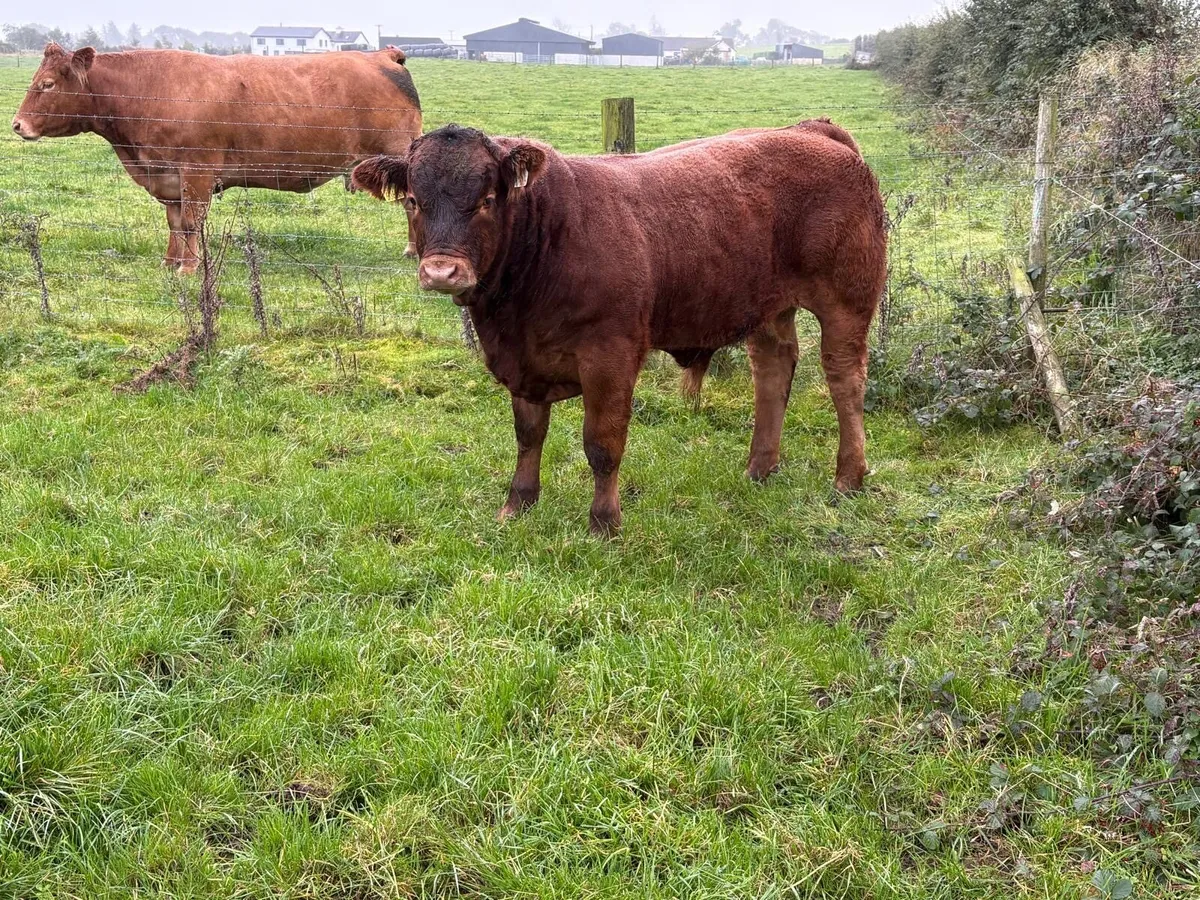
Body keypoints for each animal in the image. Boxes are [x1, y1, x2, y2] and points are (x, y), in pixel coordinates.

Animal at [12, 43, 422, 272]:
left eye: (47, 84)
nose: (17, 125)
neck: (146, 92)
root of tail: (383, 55)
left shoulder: (196, 171)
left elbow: (191, 222)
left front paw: (189, 267)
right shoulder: (167, 175)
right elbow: (175, 223)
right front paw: (170, 262)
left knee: (411, 204)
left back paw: (414, 250)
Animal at [352, 121, 887, 535]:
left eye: (486, 199)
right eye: (413, 201)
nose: (442, 271)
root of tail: (811, 130)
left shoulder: (610, 357)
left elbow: (602, 445)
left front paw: (604, 522)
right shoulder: (523, 362)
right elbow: (528, 435)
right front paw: (518, 504)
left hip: (847, 301)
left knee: (844, 379)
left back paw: (848, 477)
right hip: (767, 307)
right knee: (772, 371)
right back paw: (759, 468)